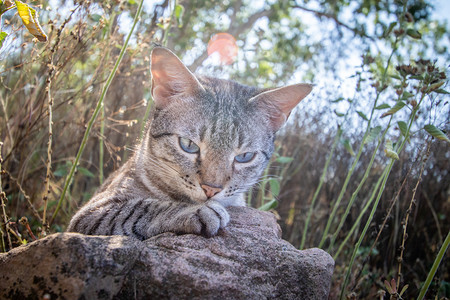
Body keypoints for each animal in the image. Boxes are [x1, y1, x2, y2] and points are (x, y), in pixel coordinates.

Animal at [67, 47, 312, 239]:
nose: (211, 190)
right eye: (188, 145)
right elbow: (139, 207)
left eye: (244, 157)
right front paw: (192, 211)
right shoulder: (92, 212)